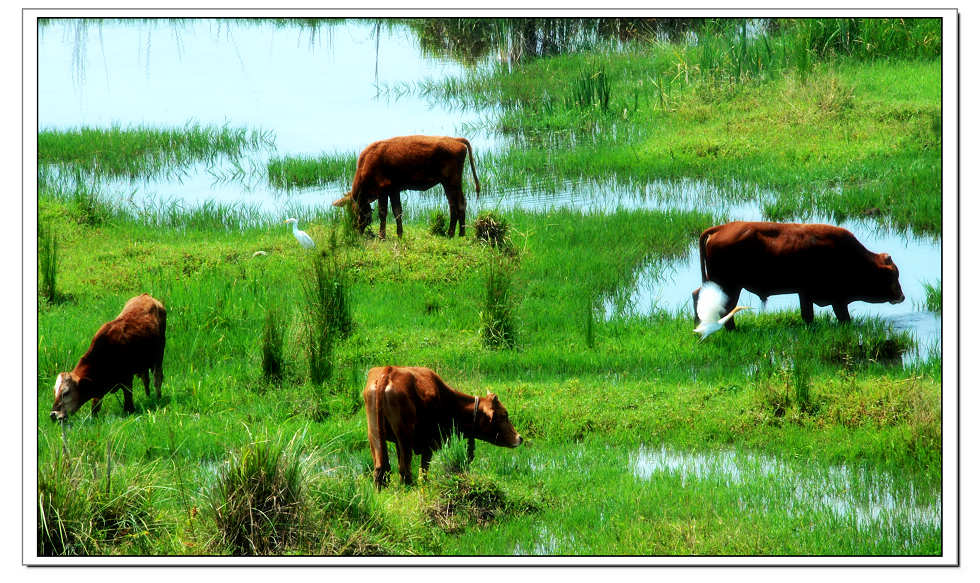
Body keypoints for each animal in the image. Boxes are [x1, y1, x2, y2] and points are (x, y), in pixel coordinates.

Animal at [50, 294, 167, 422]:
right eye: (55, 391)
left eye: (66, 393)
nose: (53, 414)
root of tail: (146, 295)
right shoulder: (99, 388)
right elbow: (95, 407)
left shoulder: (127, 379)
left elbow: (128, 400)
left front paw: (130, 411)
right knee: (146, 379)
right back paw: (148, 396)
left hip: (159, 355)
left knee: (157, 378)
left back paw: (158, 398)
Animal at [332, 135, 480, 240]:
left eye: (353, 211)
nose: (354, 231)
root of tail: (454, 139)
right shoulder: (394, 190)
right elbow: (397, 211)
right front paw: (400, 234)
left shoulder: (383, 191)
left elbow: (383, 213)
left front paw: (382, 236)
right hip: (448, 183)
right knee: (454, 204)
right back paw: (457, 233)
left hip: (452, 181)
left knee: (459, 203)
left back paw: (455, 234)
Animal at [364, 364, 520, 488]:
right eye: (503, 415)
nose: (520, 438)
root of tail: (388, 371)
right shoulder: (429, 443)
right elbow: (424, 471)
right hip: (404, 436)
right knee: (404, 469)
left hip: (375, 434)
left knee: (381, 468)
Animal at [688, 221, 904, 328]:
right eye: (892, 276)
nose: (901, 296)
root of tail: (721, 229)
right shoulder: (829, 297)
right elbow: (831, 315)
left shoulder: (805, 294)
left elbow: (809, 314)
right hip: (728, 284)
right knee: (723, 305)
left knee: (700, 295)